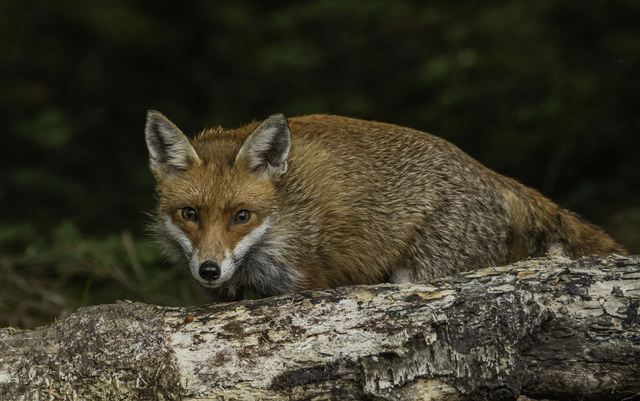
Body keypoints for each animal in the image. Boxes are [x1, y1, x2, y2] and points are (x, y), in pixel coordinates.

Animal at [145, 111, 627, 301]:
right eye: (190, 215)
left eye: (241, 216)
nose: (209, 270)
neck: (284, 216)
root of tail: (488, 172)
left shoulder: (306, 281)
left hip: (418, 274)